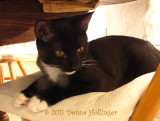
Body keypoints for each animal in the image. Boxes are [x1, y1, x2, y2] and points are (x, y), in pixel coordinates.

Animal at [14, 11, 160, 112]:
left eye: (80, 48)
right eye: (60, 52)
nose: (75, 65)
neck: (56, 71)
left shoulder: (102, 81)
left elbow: (69, 86)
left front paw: (40, 99)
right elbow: (41, 80)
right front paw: (24, 94)